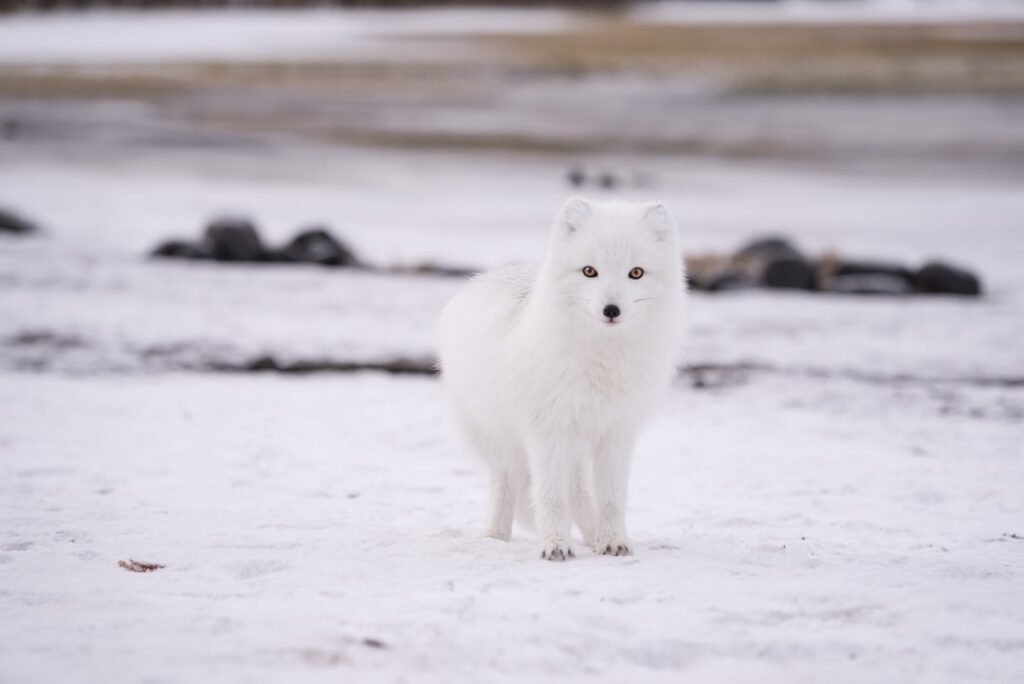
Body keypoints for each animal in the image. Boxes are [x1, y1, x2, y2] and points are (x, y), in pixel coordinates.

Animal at [438, 197, 687, 561]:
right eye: (589, 271)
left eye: (636, 272)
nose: (611, 310)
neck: (600, 359)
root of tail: (484, 278)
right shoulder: (547, 430)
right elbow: (551, 496)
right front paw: (554, 544)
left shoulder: (617, 431)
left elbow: (611, 498)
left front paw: (613, 541)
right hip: (500, 439)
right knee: (505, 484)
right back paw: (495, 537)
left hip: (575, 448)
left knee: (580, 494)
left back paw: (593, 536)